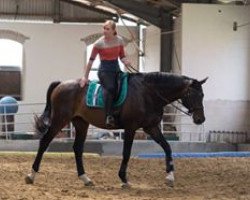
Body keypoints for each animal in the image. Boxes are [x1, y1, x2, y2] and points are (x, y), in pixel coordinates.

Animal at [24, 72, 207, 188]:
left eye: (202, 95)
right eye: (192, 94)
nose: (200, 119)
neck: (148, 93)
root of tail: (61, 84)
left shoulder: (151, 127)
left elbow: (167, 147)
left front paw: (169, 177)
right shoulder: (131, 127)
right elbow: (126, 153)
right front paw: (124, 179)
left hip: (81, 123)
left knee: (77, 148)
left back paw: (85, 178)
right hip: (60, 120)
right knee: (44, 142)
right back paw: (31, 175)